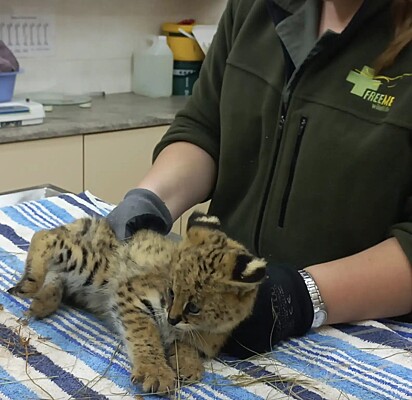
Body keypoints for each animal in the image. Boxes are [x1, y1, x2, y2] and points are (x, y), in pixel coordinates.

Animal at [8, 212, 268, 394]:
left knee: (58, 271)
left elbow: (186, 345)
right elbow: (146, 334)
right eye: (171, 292)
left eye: (193, 307)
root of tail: (97, 224)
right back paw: (31, 283)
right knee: (47, 235)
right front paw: (156, 371)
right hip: (100, 271)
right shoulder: (130, 294)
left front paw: (188, 364)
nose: (172, 318)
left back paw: (43, 300)